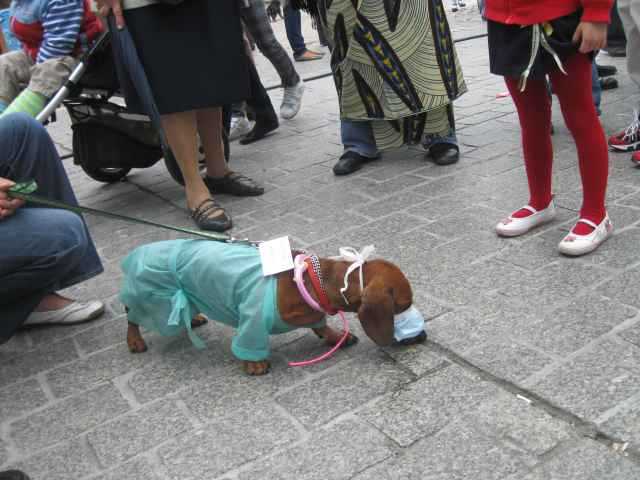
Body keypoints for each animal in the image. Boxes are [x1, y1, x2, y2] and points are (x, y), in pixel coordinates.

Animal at [122, 240, 422, 376]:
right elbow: (250, 342)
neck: (310, 281)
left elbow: (320, 323)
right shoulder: (252, 318)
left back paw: (193, 318)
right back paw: (134, 340)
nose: (422, 336)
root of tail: (139, 252)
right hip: (148, 296)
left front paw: (336, 336)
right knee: (132, 316)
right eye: (403, 305)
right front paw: (254, 364)